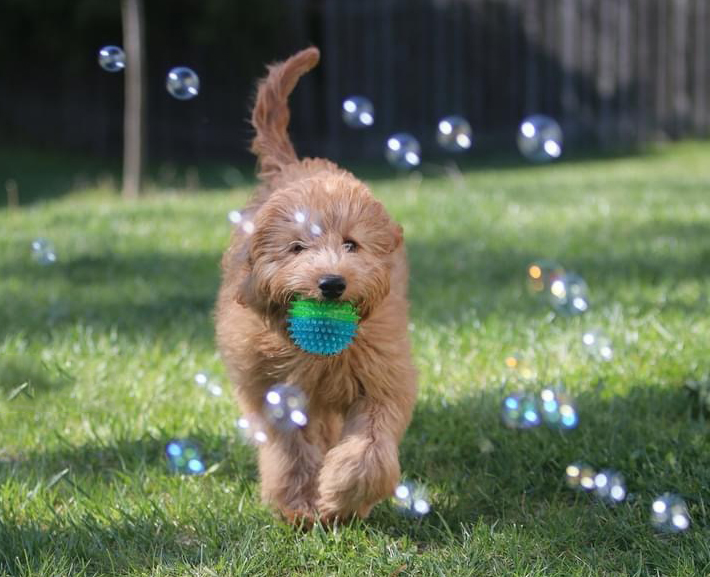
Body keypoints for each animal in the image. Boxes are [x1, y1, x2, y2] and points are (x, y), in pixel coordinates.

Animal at [217, 46, 418, 520]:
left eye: (351, 244)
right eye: (296, 248)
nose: (331, 283)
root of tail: (293, 165)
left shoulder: (382, 375)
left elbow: (370, 447)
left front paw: (342, 496)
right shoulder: (271, 390)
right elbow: (290, 451)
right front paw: (301, 505)